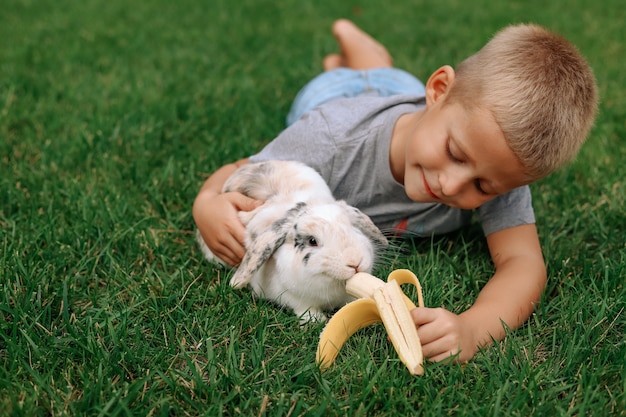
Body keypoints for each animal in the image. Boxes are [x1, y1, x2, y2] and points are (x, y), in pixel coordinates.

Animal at [197, 159, 388, 322]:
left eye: (353, 228)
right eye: (312, 241)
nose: (355, 262)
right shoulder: (296, 299)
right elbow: (305, 308)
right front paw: (316, 320)